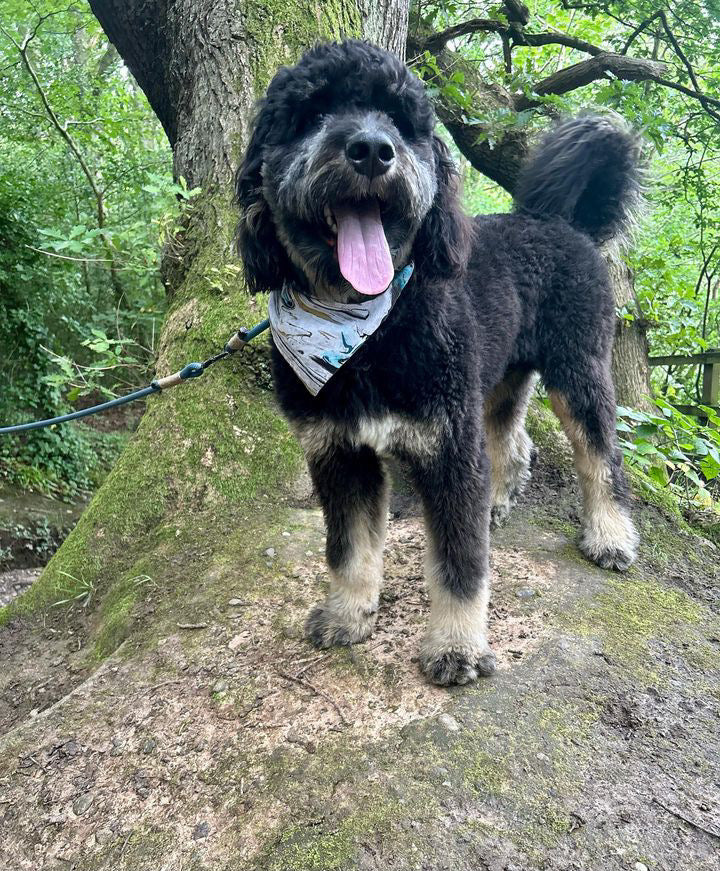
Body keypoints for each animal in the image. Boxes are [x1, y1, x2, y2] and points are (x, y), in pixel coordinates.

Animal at [238, 41, 640, 684]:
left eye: (402, 120)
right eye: (311, 113)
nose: (373, 150)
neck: (367, 333)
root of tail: (561, 223)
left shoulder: (448, 448)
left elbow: (459, 563)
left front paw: (456, 647)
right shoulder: (338, 453)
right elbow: (348, 549)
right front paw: (349, 615)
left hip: (578, 372)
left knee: (602, 456)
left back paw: (609, 536)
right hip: (496, 379)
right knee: (510, 441)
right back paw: (497, 501)